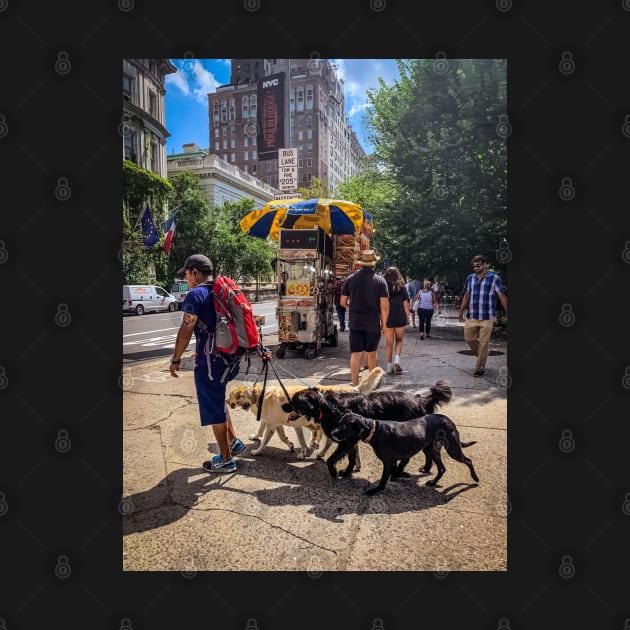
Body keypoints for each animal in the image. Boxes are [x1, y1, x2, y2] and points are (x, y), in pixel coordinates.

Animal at [282, 382, 454, 482]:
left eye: (294, 401)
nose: (283, 406)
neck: (327, 406)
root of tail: (421, 400)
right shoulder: (350, 440)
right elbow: (351, 458)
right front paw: (347, 472)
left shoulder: (346, 441)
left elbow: (331, 459)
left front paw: (334, 472)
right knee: (428, 452)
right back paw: (425, 468)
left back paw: (398, 472)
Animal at [330, 412, 478, 496]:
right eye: (339, 423)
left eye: (344, 427)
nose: (331, 433)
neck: (373, 430)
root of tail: (448, 419)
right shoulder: (395, 460)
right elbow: (396, 470)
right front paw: (401, 475)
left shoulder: (388, 461)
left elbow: (384, 478)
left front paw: (376, 490)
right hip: (432, 449)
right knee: (442, 468)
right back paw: (432, 482)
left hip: (453, 449)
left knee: (468, 461)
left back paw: (475, 478)